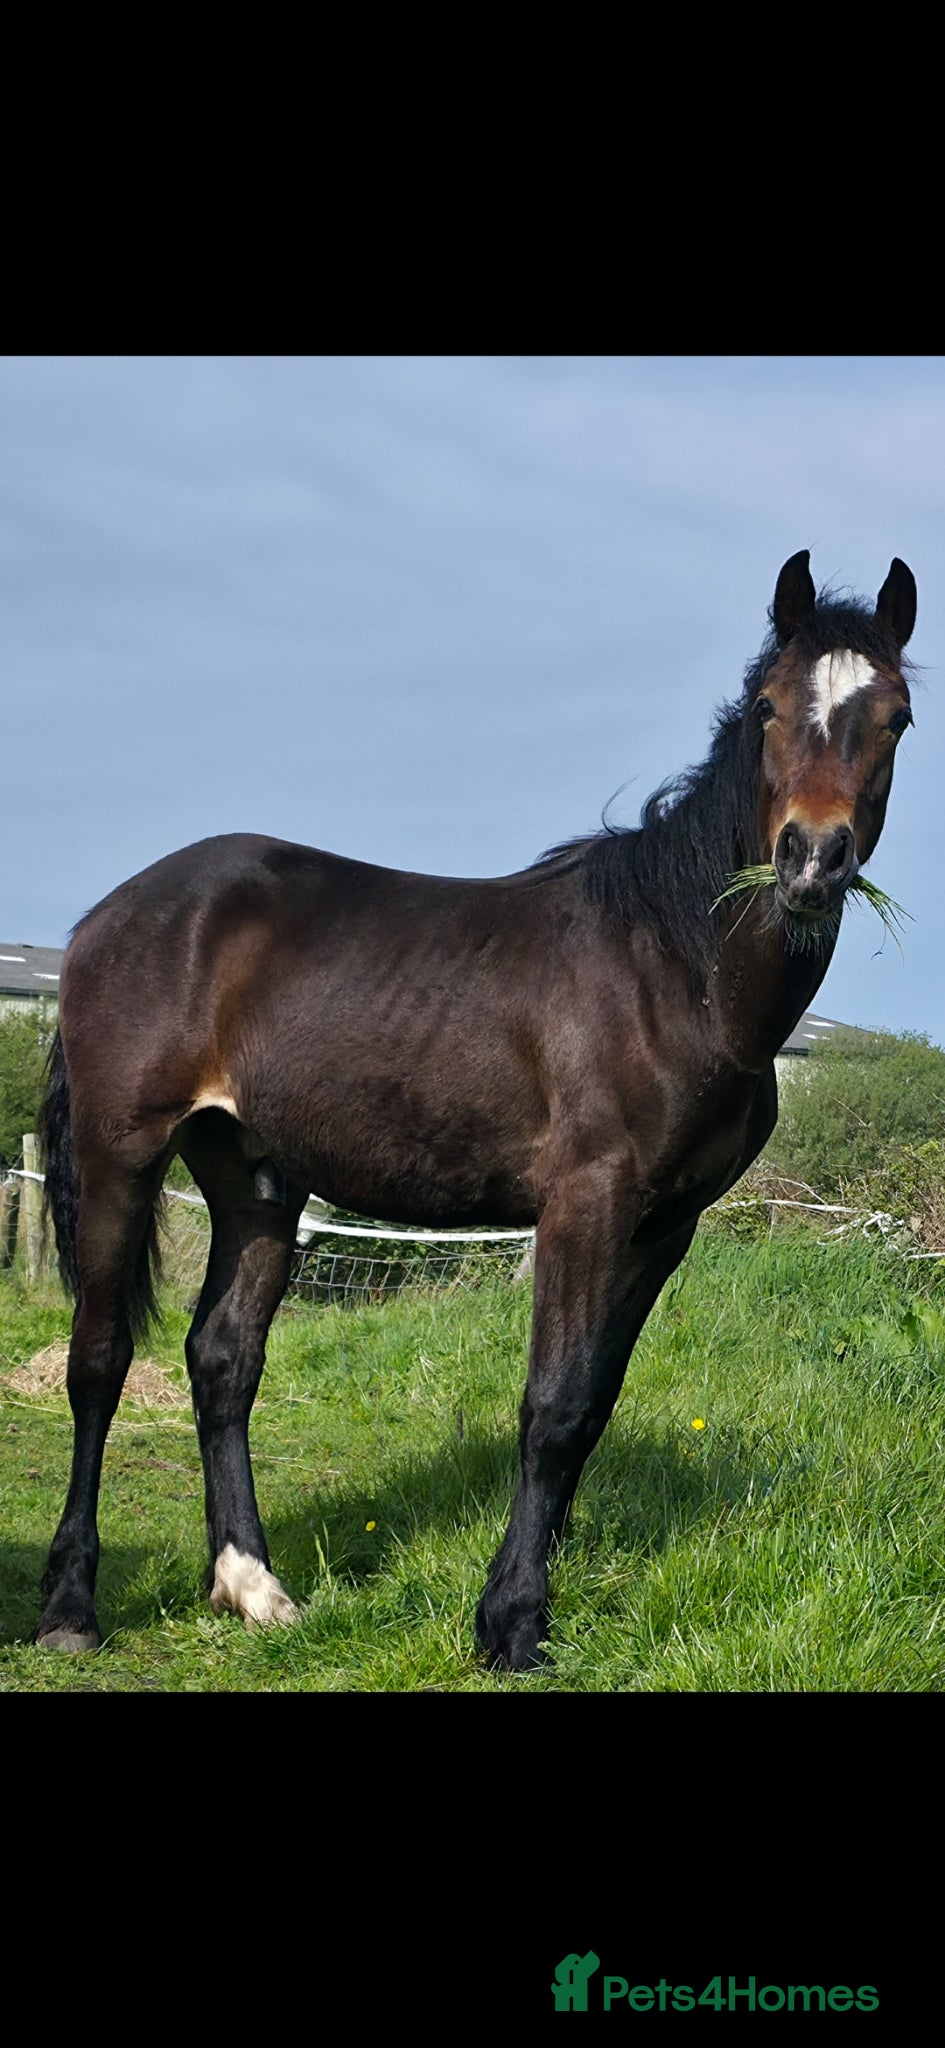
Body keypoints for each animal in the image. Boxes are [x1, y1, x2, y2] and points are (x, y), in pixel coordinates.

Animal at [35, 549, 917, 1671]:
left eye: (894, 717)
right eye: (768, 706)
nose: (811, 860)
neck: (675, 967)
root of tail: (109, 916)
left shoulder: (664, 1225)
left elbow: (593, 1402)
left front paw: (526, 1595)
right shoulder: (585, 1202)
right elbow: (551, 1404)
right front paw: (511, 1622)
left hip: (255, 1178)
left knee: (223, 1358)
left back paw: (253, 1586)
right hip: (122, 1153)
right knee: (99, 1359)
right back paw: (71, 1608)